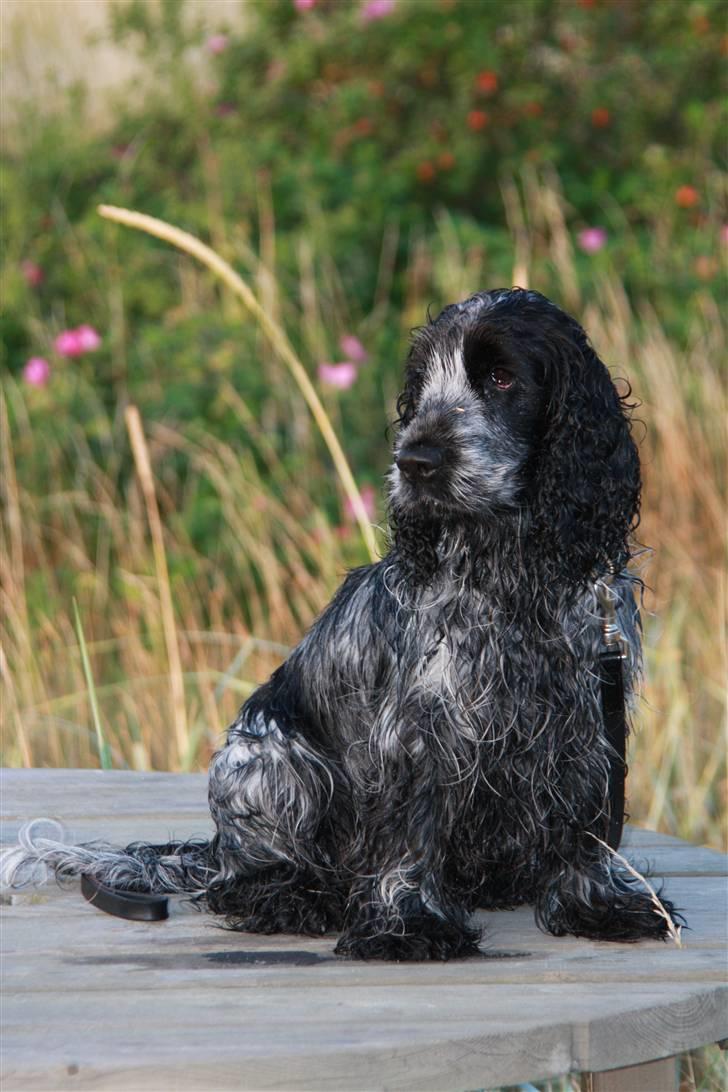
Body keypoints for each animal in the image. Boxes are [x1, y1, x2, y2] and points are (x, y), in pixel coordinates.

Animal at [2, 288, 681, 956]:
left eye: (501, 377)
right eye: (422, 383)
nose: (414, 461)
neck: (512, 571)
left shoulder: (584, 715)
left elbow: (587, 822)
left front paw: (598, 904)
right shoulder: (419, 725)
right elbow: (411, 828)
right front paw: (409, 924)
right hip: (273, 763)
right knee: (241, 879)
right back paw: (295, 898)